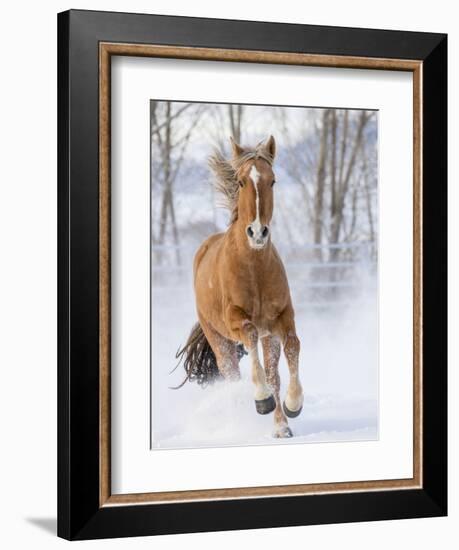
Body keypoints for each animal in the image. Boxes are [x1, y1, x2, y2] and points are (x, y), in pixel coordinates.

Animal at [177, 135, 306, 440]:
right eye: (241, 181)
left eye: (273, 180)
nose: (258, 232)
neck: (254, 268)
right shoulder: (236, 320)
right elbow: (249, 335)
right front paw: (262, 399)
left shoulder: (282, 319)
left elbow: (293, 346)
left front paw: (294, 404)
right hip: (219, 340)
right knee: (232, 376)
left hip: (269, 337)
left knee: (273, 374)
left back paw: (281, 426)